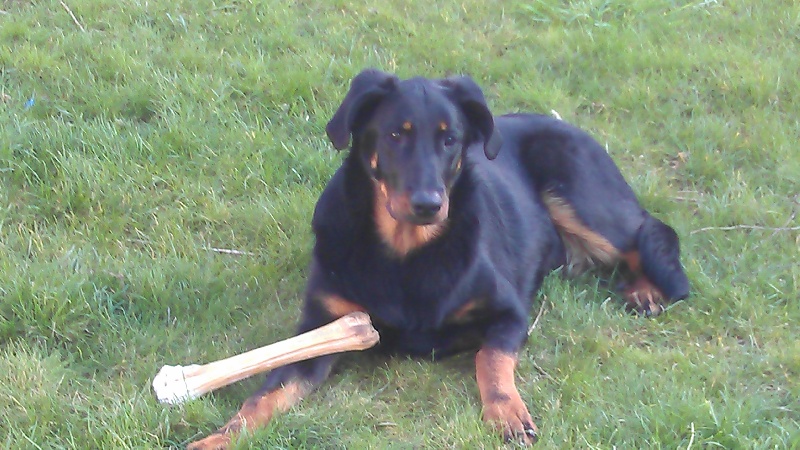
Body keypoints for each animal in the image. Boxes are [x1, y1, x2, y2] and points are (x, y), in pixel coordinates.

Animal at [187, 69, 689, 449]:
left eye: (451, 141)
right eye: (396, 134)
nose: (429, 204)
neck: (407, 251)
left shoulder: (510, 312)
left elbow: (490, 357)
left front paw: (507, 411)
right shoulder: (320, 328)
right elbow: (263, 395)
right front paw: (216, 439)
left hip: (582, 198)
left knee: (649, 232)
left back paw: (646, 289)